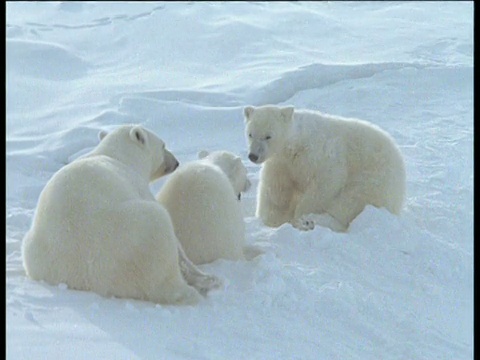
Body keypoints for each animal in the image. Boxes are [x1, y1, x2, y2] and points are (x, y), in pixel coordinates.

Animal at [20, 125, 219, 306]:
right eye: (163, 145)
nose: (176, 162)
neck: (116, 155)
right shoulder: (138, 185)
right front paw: (203, 274)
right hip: (137, 232)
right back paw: (205, 283)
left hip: (38, 254)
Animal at [244, 105, 404, 232]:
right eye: (250, 134)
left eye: (268, 136)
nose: (253, 156)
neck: (296, 145)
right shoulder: (281, 163)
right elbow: (275, 192)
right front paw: (270, 219)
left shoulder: (320, 154)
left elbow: (326, 182)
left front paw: (301, 215)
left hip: (374, 180)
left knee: (348, 202)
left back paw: (310, 221)